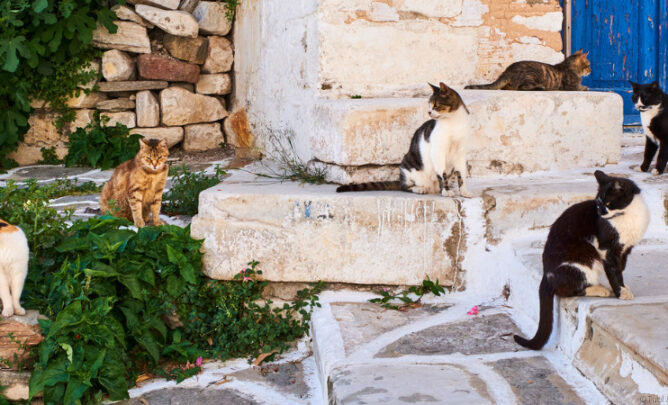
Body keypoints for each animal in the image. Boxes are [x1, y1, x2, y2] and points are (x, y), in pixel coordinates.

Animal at [336, 81, 472, 196]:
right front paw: (447, 191)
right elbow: (442, 174)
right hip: (408, 165)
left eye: (436, 105)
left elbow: (461, 174)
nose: (428, 112)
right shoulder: (438, 151)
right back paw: (419, 188)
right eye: (429, 105)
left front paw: (464, 192)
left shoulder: (460, 153)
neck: (454, 122)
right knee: (405, 186)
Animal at [516, 169, 648, 348]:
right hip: (582, 262)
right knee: (567, 291)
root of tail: (546, 274)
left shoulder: (626, 248)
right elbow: (614, 271)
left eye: (608, 203)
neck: (629, 214)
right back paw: (600, 289)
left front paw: (623, 287)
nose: (600, 213)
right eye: (598, 204)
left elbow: (621, 267)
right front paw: (620, 292)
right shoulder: (607, 249)